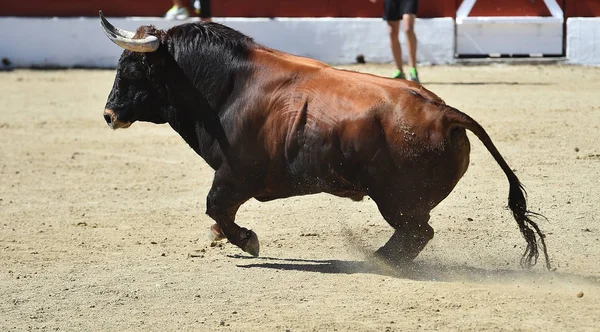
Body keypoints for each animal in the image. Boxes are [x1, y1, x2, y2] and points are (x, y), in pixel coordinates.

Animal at [99, 11, 552, 270]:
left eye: (132, 69)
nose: (109, 115)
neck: (228, 87)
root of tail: (445, 112)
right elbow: (216, 212)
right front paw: (220, 237)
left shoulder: (235, 175)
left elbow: (215, 206)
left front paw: (248, 242)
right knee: (417, 234)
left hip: (396, 200)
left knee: (417, 233)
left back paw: (374, 260)